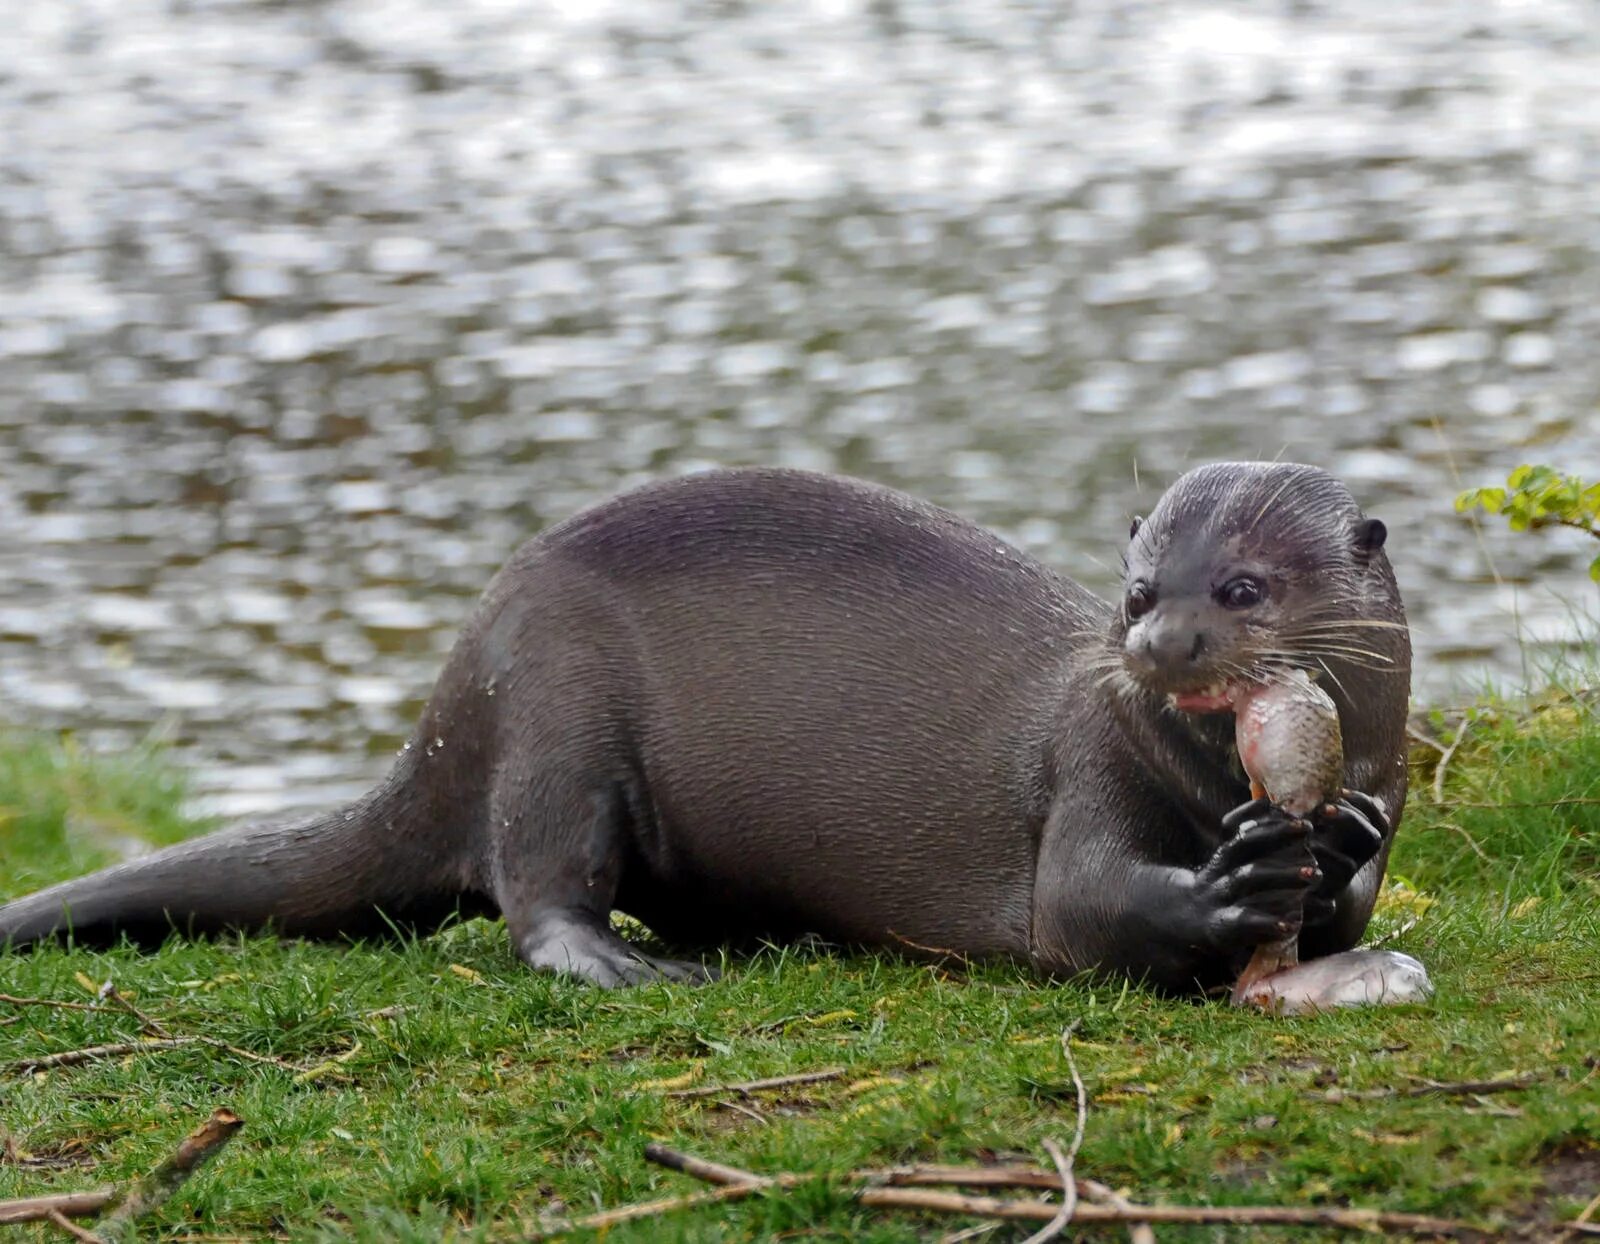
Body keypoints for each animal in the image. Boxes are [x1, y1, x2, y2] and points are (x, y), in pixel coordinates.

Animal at [0, 466, 1408, 991]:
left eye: (1240, 586)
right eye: (1136, 590)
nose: (1160, 645)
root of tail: (452, 701)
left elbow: (1354, 889)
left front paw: (1334, 847)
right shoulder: (1088, 767)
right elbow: (1084, 907)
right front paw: (1229, 887)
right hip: (554, 705)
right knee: (534, 886)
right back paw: (625, 964)